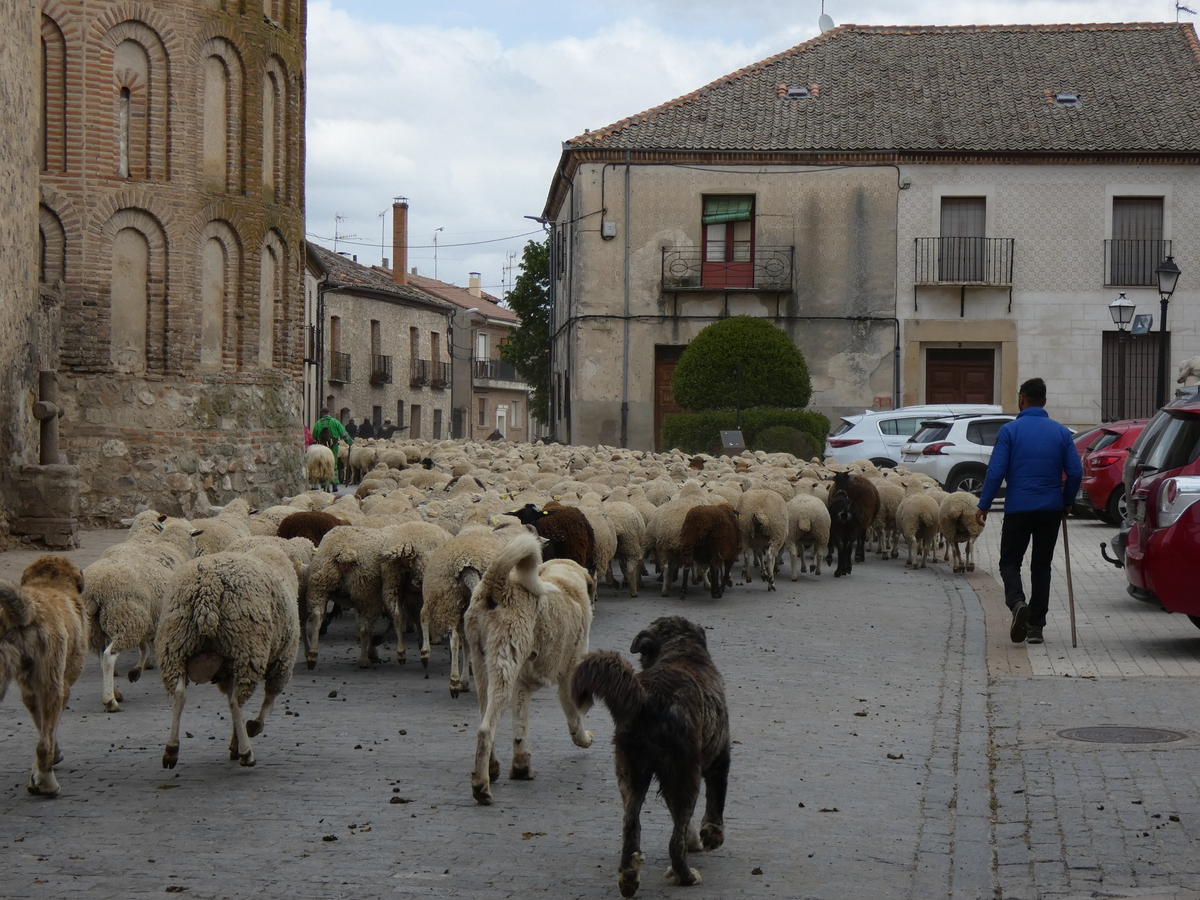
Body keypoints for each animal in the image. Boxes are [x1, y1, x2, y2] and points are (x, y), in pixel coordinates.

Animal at [0, 556, 87, 796]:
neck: (50, 585)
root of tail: (27, 607)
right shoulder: (62, 687)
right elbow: (50, 732)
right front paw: (41, 772)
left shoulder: (29, 692)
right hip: (51, 686)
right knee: (43, 745)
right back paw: (49, 784)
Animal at [157, 547, 300, 772]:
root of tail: (207, 585)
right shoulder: (283, 661)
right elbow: (268, 702)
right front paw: (252, 729)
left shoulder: (227, 671)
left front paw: (235, 742)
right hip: (248, 650)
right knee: (236, 701)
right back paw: (247, 754)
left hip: (174, 645)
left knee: (180, 693)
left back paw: (172, 750)